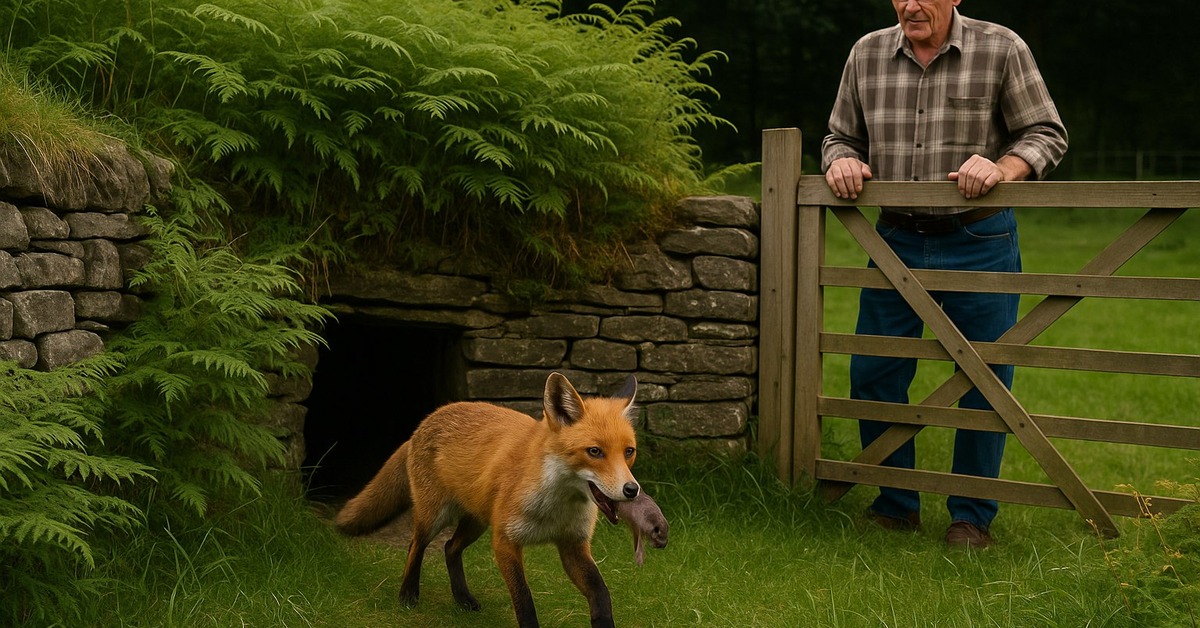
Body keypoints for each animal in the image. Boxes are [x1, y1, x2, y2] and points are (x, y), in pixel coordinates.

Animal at [335, 372, 641, 628]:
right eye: (594, 451)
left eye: (629, 451)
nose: (632, 489)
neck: (556, 507)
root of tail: (426, 420)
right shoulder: (505, 541)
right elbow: (524, 601)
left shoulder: (573, 545)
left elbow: (601, 594)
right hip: (434, 516)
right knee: (416, 545)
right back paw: (408, 594)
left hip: (476, 522)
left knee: (449, 548)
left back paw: (462, 598)